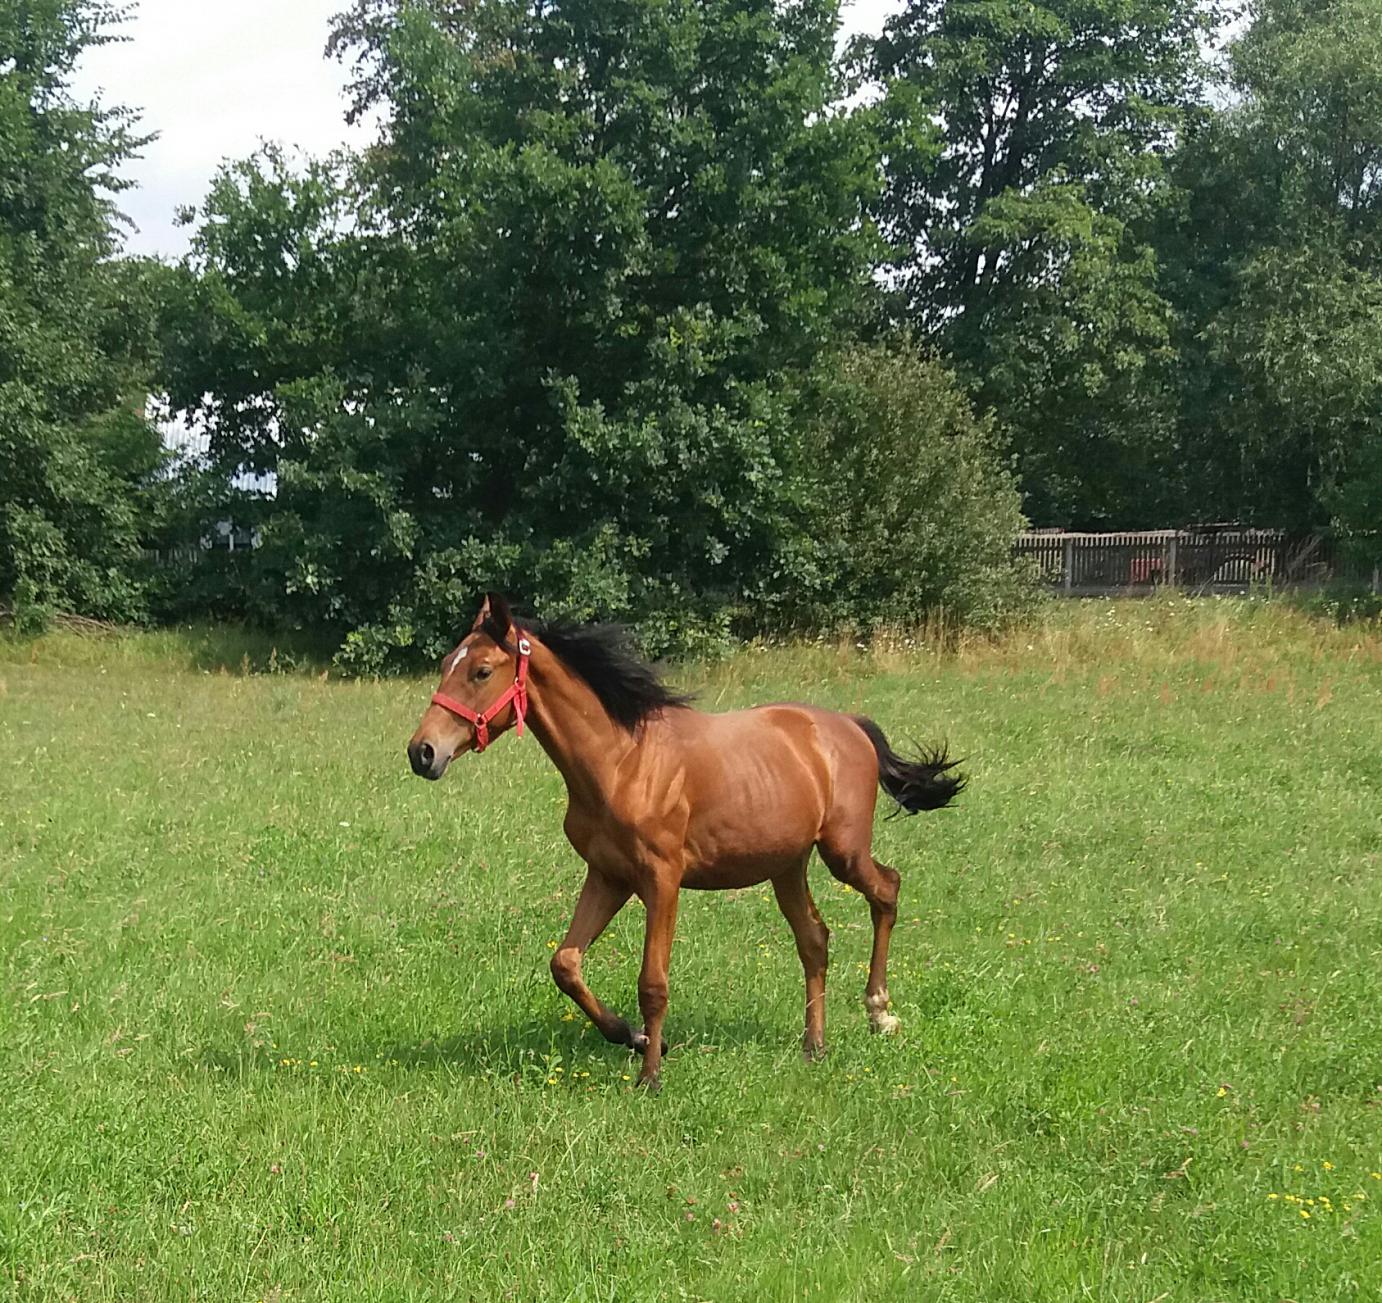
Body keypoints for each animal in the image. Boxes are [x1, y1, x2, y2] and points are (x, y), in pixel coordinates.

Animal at [407, 593, 963, 1089]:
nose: (422, 752)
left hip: (842, 852)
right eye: (445, 663)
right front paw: (631, 1037)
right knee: (815, 940)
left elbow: (653, 983)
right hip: (787, 865)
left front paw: (650, 1075)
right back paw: (815, 1046)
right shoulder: (608, 875)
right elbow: (564, 964)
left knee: (886, 889)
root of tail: (848, 725)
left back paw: (879, 1012)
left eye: (481, 671)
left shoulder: (662, 879)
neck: (622, 761)